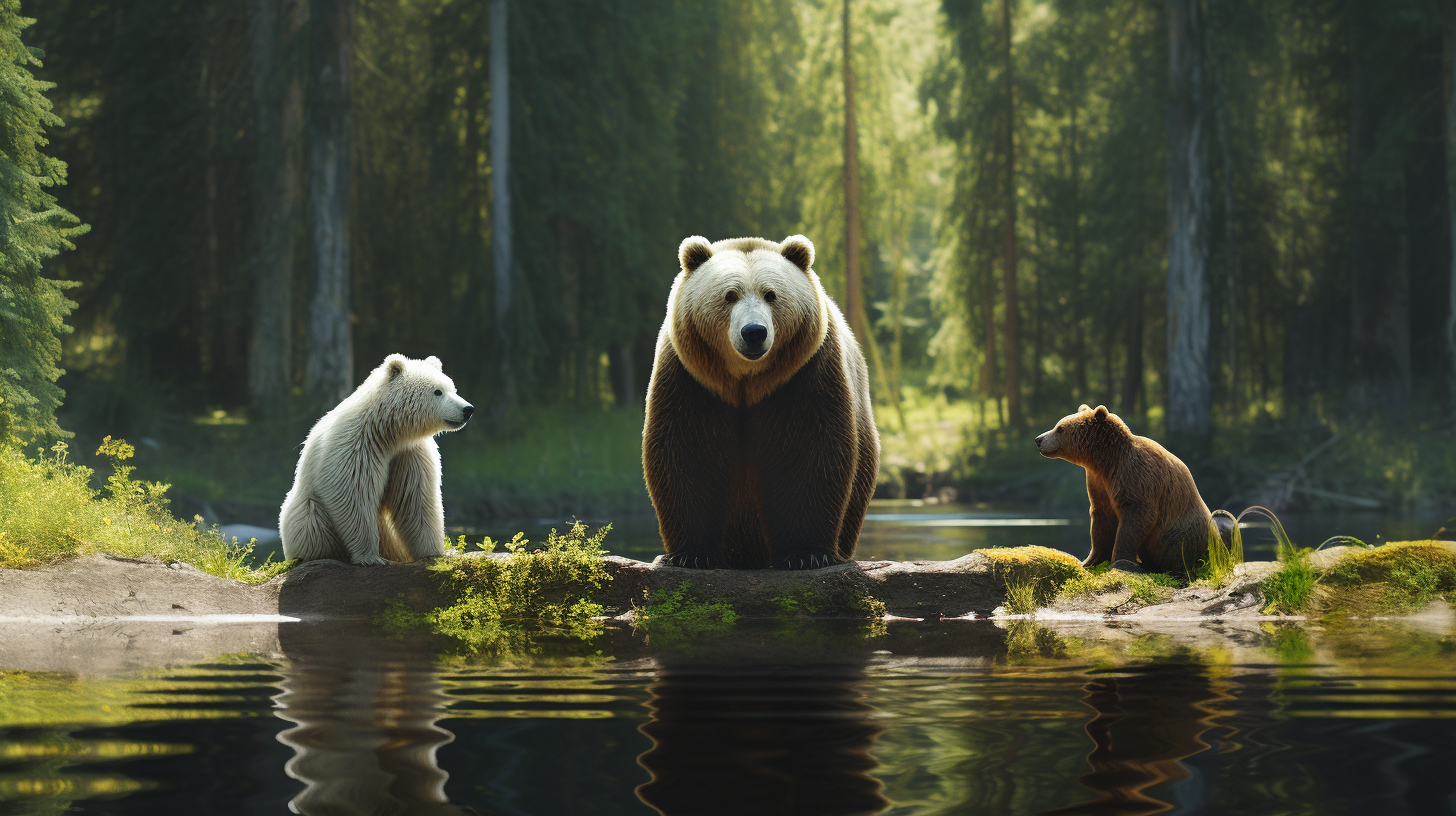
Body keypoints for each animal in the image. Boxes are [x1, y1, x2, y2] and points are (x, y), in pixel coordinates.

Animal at [280, 354, 473, 565]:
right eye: (438, 391)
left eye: (452, 388)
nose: (468, 409)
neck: (387, 430)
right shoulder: (356, 445)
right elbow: (353, 494)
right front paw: (371, 557)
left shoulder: (409, 452)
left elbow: (416, 497)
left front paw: (436, 552)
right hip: (307, 510)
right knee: (312, 525)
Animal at [642, 234, 880, 570]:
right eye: (729, 295)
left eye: (771, 294)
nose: (754, 332)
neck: (746, 380)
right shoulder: (690, 379)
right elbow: (687, 452)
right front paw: (689, 554)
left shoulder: (804, 374)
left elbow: (809, 451)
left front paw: (805, 553)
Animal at [1034, 404, 1214, 576]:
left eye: (1060, 428)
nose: (1038, 439)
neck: (1106, 461)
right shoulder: (1098, 483)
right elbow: (1101, 519)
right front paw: (1089, 561)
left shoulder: (1135, 474)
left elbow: (1136, 516)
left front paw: (1121, 561)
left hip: (1181, 527)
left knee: (1178, 546)